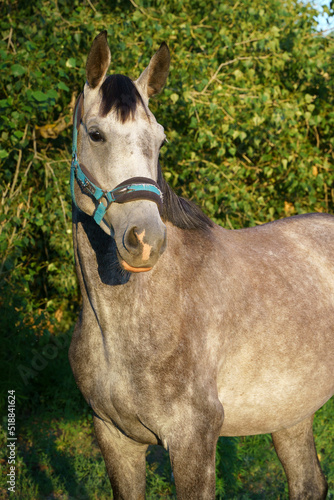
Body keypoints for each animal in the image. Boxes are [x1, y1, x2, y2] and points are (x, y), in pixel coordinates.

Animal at [69, 32, 332, 500]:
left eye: (159, 140)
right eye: (96, 135)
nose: (146, 240)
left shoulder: (193, 439)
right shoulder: (114, 438)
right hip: (291, 412)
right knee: (308, 483)